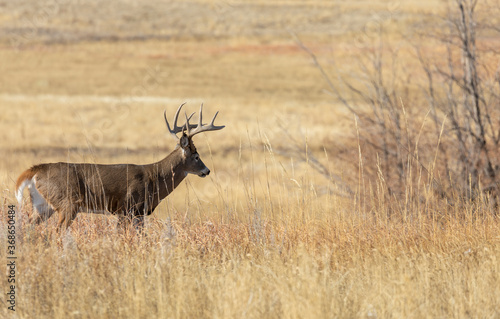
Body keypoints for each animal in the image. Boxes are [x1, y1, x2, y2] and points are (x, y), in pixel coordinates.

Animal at [14, 104, 224, 232]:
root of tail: (34, 170)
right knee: (57, 232)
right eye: (196, 156)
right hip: (67, 204)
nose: (206, 171)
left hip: (42, 205)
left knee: (27, 229)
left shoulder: (138, 213)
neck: (155, 178)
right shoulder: (128, 207)